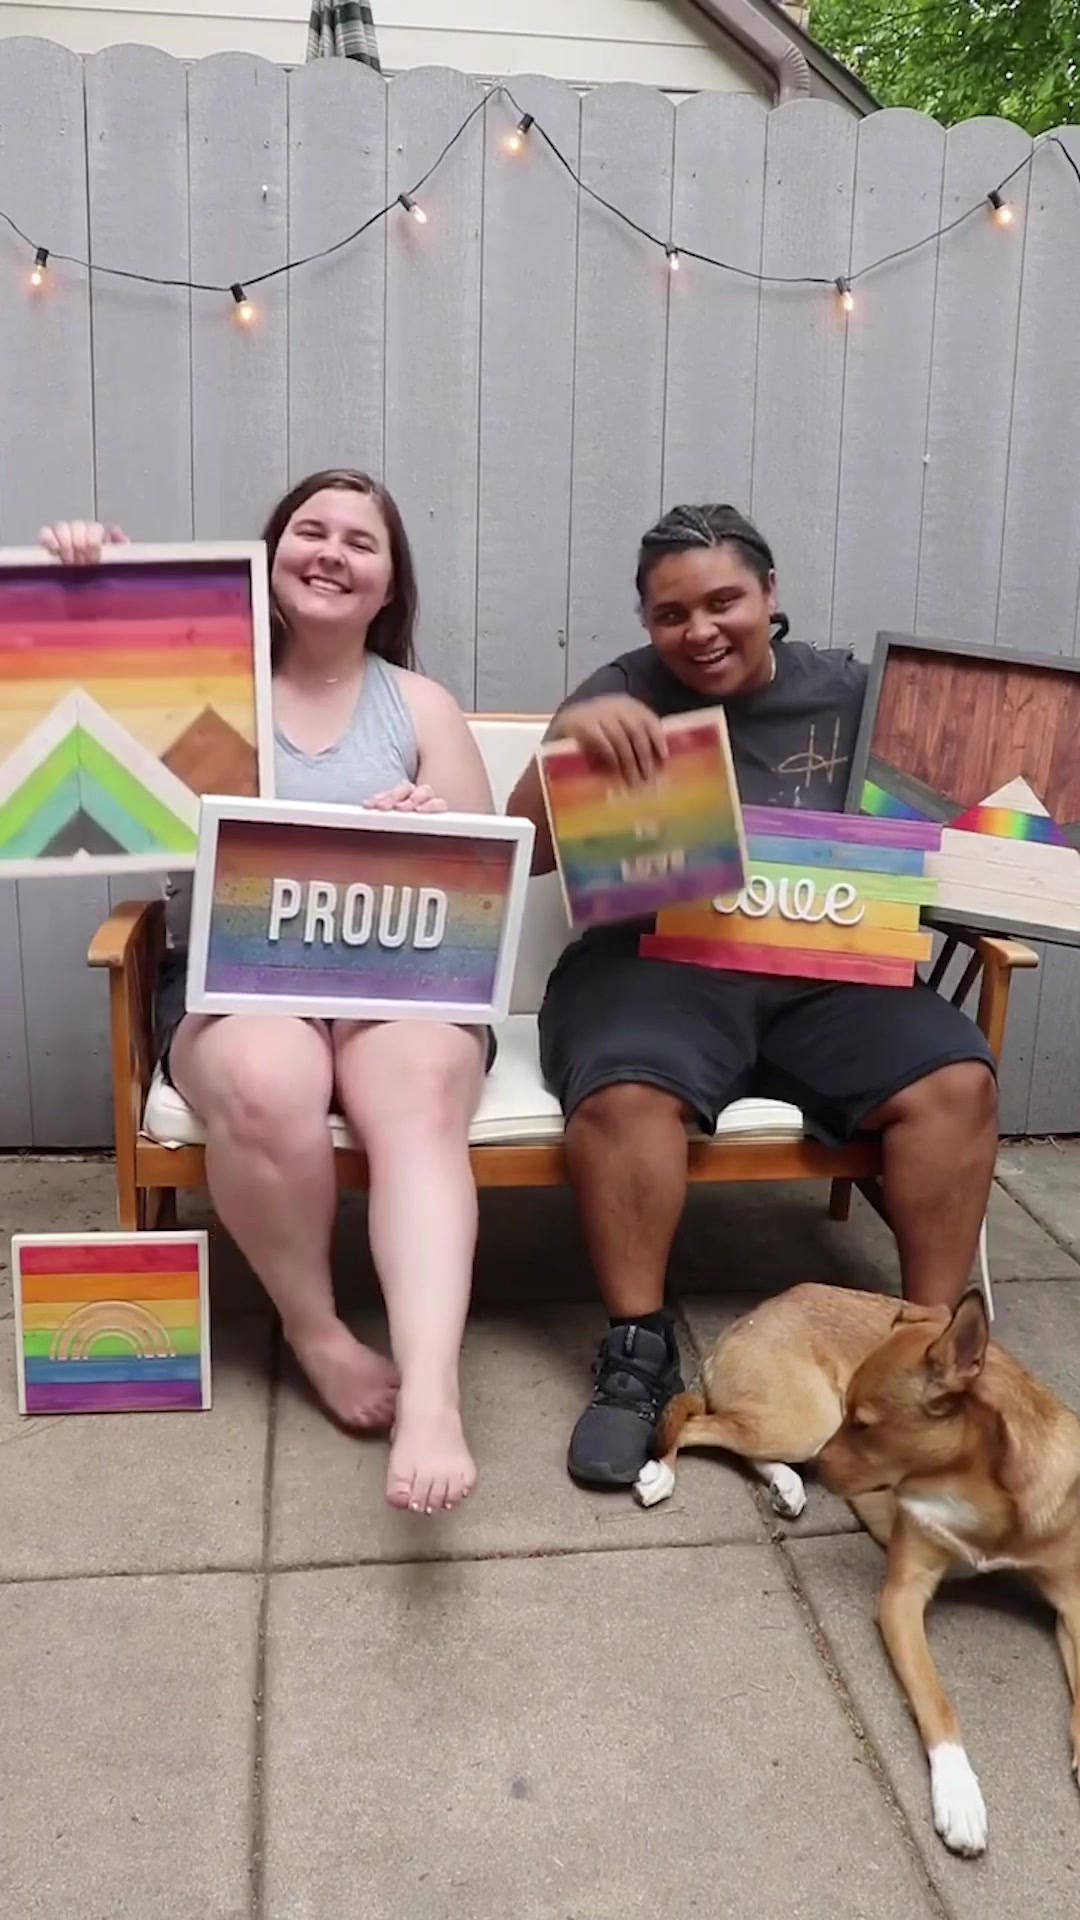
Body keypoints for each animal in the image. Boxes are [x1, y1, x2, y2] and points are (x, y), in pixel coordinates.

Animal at [635, 1283, 1080, 1857]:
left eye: (865, 1424)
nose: (826, 1467)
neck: (985, 1491)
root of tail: (761, 1309)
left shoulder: (1074, 1602)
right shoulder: (901, 1598)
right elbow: (938, 1702)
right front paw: (958, 1796)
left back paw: (786, 1484)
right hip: (804, 1421)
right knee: (693, 1421)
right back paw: (662, 1474)